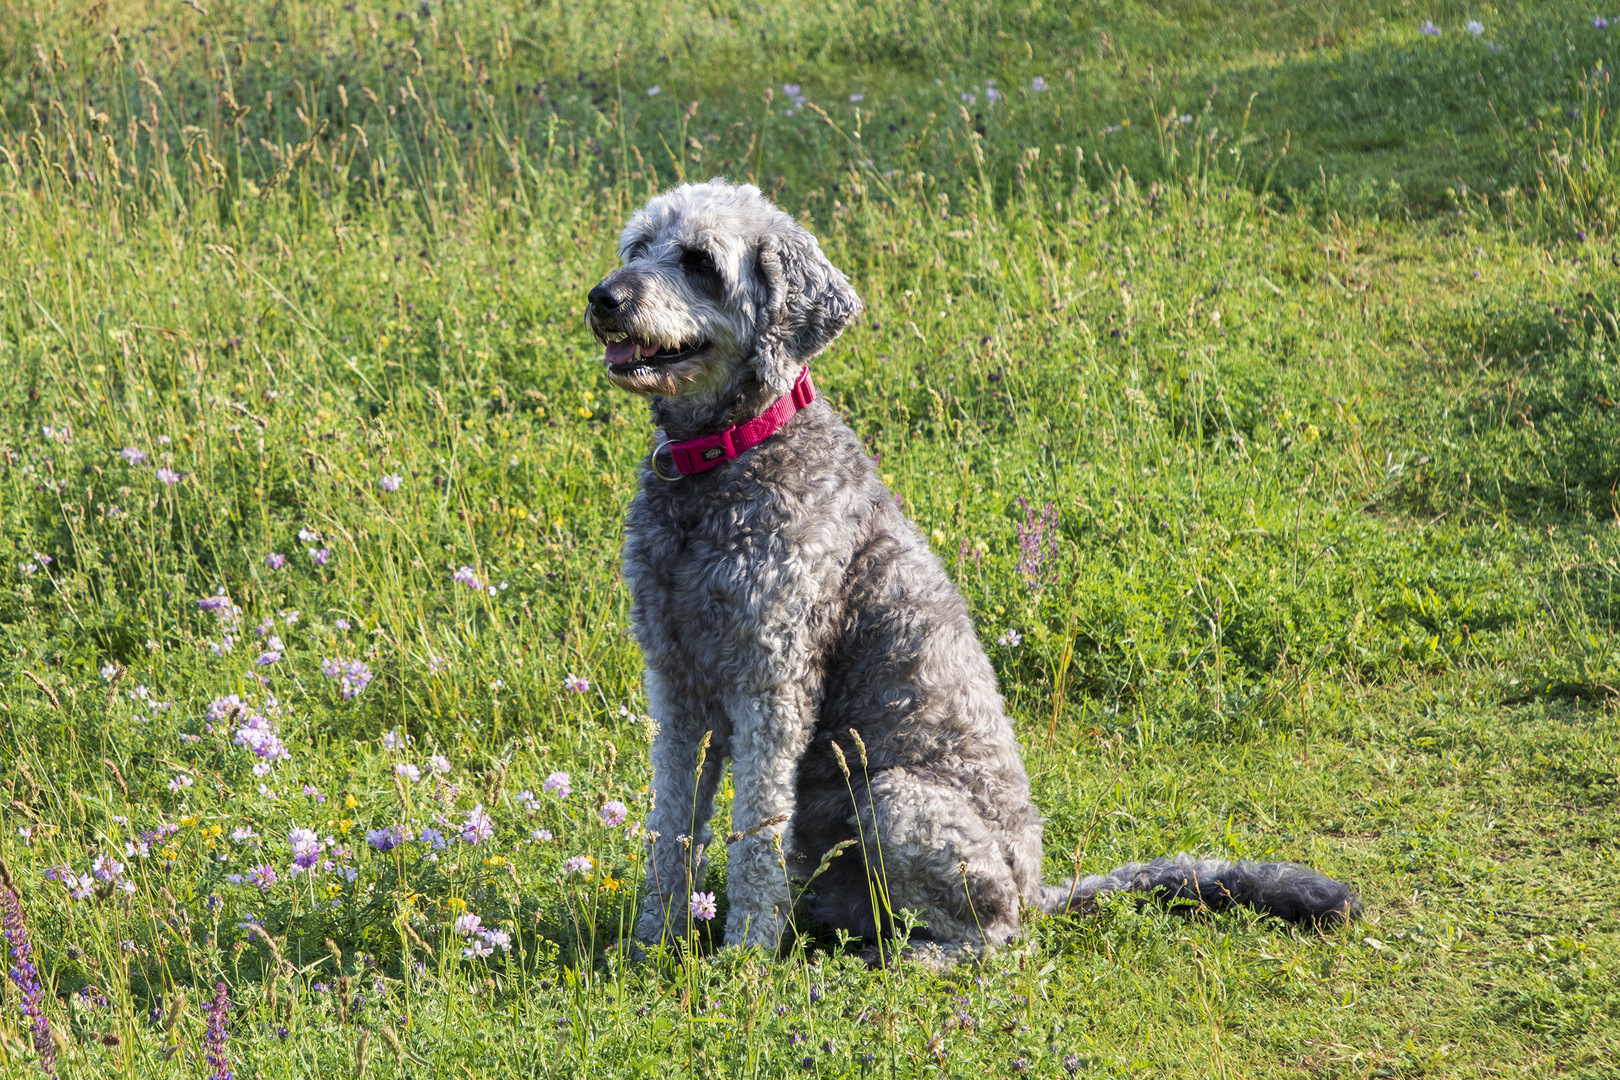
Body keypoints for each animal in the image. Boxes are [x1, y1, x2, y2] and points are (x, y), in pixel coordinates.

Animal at [589, 179, 1360, 965]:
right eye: (638, 247)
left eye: (699, 261)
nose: (604, 298)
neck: (728, 458)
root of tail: (1040, 886)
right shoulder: (677, 688)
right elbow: (669, 826)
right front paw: (653, 942)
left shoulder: (772, 688)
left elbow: (754, 835)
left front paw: (742, 958)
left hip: (893, 798)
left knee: (995, 940)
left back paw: (906, 959)